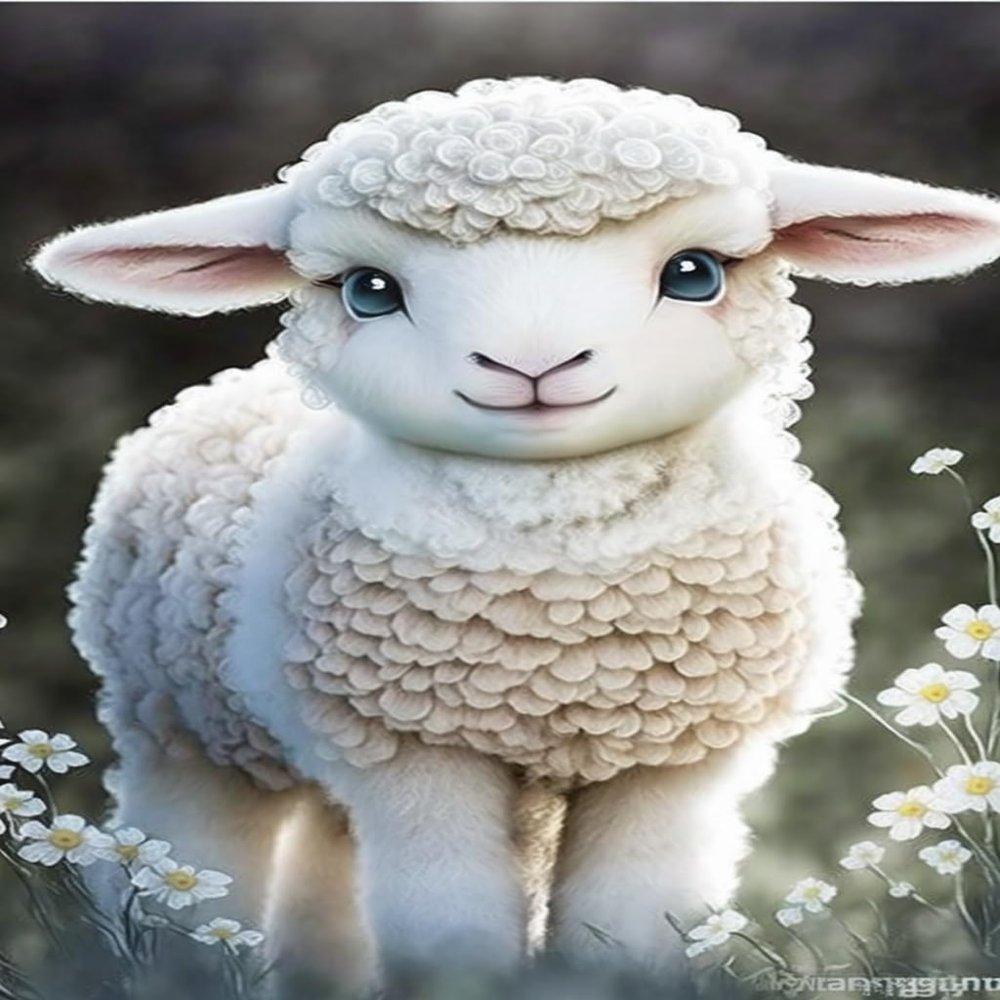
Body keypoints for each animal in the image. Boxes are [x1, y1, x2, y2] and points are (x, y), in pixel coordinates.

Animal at [30, 76, 1000, 990]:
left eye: (695, 274)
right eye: (368, 291)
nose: (533, 365)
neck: (556, 598)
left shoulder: (676, 759)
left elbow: (630, 926)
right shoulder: (416, 746)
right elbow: (448, 931)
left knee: (326, 873)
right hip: (178, 722)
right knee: (181, 868)